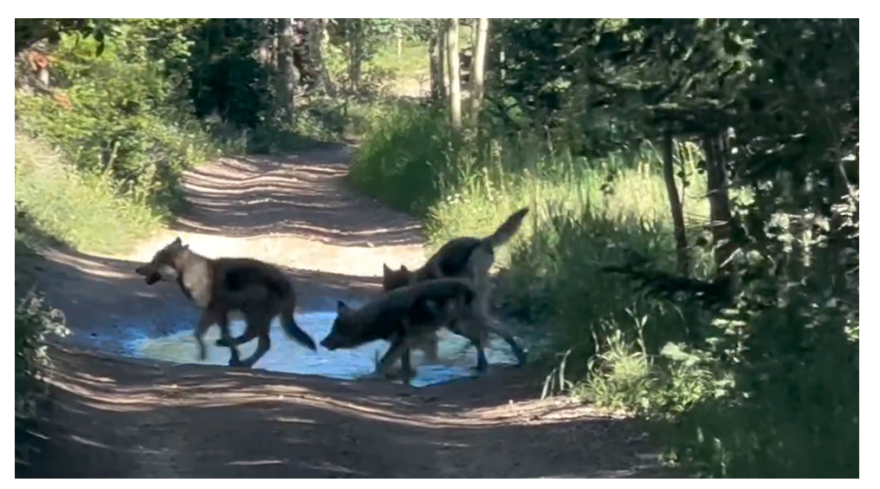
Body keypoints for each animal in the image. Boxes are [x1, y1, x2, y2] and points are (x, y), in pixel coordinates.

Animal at [134, 237, 317, 368]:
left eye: (154, 261)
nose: (136, 269)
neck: (191, 272)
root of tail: (288, 286)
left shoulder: (218, 311)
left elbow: (221, 335)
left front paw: (233, 358)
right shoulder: (213, 312)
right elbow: (199, 333)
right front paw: (204, 355)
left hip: (255, 314)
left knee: (263, 343)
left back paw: (246, 363)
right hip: (250, 314)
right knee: (252, 336)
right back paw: (234, 351)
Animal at [320, 278, 527, 383]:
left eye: (335, 330)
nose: (321, 342)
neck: (377, 317)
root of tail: (469, 285)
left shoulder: (401, 341)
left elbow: (382, 362)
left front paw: (370, 377)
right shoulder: (405, 343)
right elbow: (403, 365)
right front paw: (405, 377)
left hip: (471, 321)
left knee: (502, 331)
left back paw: (519, 357)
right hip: (457, 326)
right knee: (479, 339)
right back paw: (483, 366)